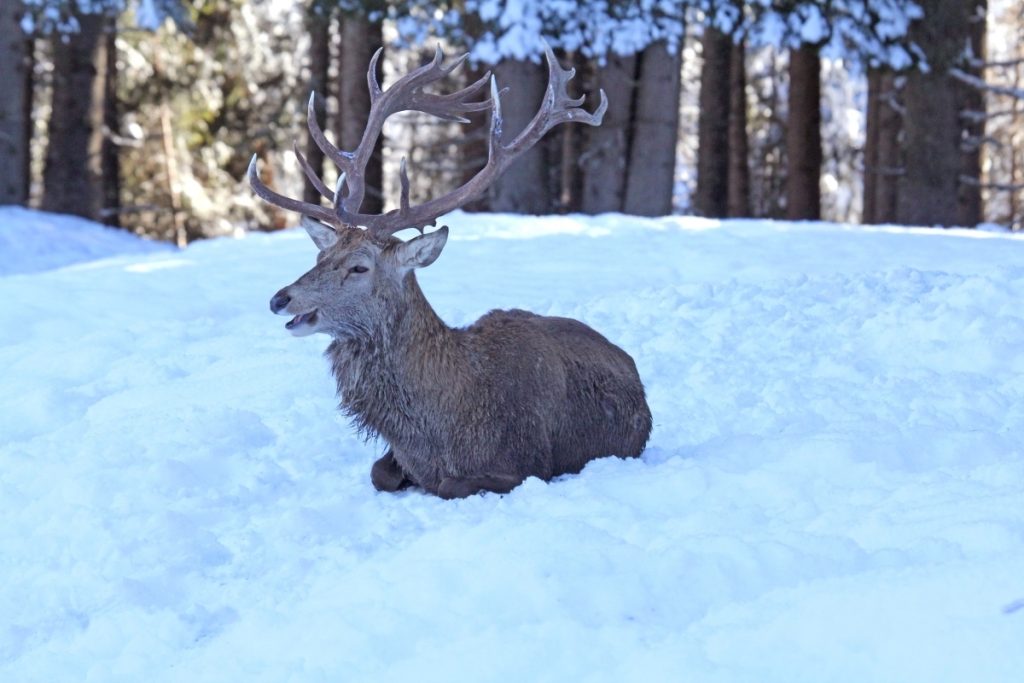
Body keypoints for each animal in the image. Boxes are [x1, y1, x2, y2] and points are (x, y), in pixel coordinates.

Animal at [248, 45, 652, 499]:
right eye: (321, 257)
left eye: (359, 267)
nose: (280, 298)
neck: (441, 429)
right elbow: (379, 473)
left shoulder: (528, 464)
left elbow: (447, 485)